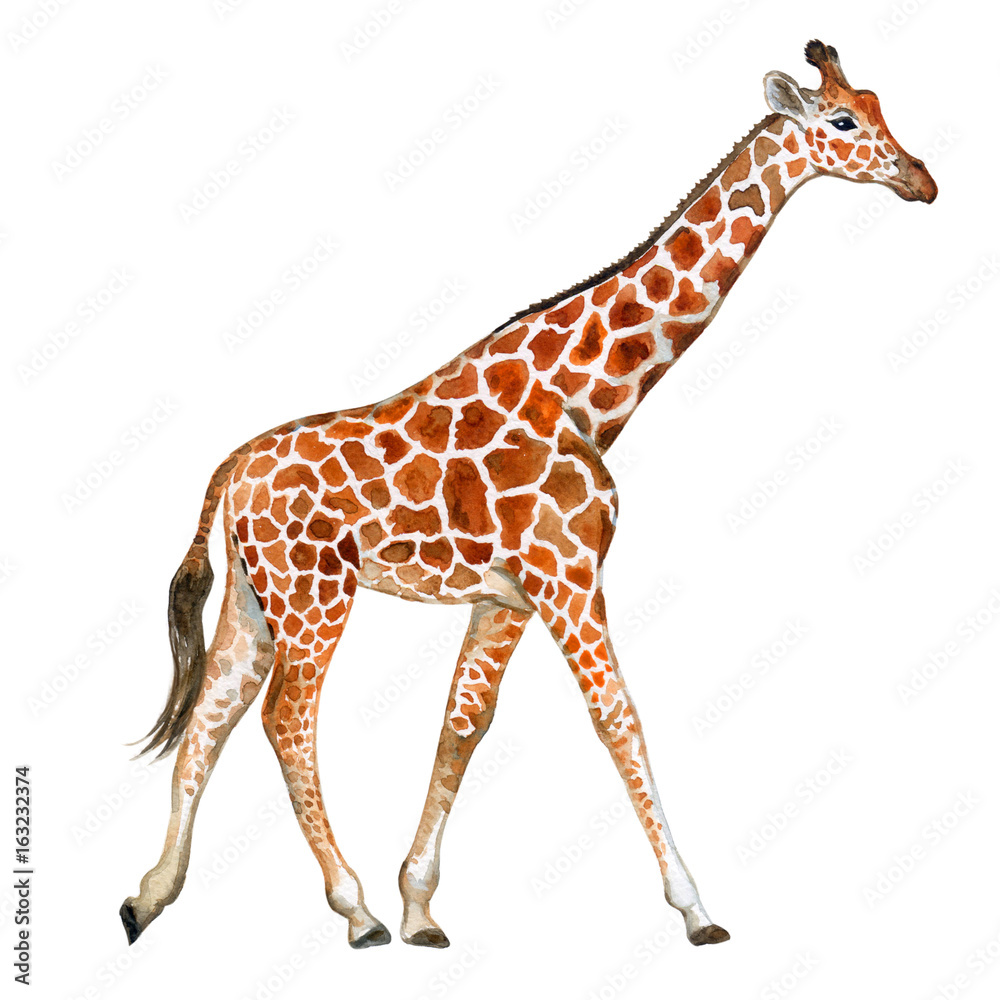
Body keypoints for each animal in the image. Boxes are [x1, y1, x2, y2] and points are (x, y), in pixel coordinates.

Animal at [121, 40, 936, 950]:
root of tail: (229, 471)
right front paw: (695, 909)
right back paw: (353, 910)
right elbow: (618, 718)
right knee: (284, 720)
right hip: (315, 594)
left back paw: (149, 898)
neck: (589, 395)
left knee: (210, 720)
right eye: (844, 120)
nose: (922, 179)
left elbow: (462, 725)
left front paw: (421, 907)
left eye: (879, 103)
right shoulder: (568, 575)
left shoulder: (505, 597)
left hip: (253, 599)